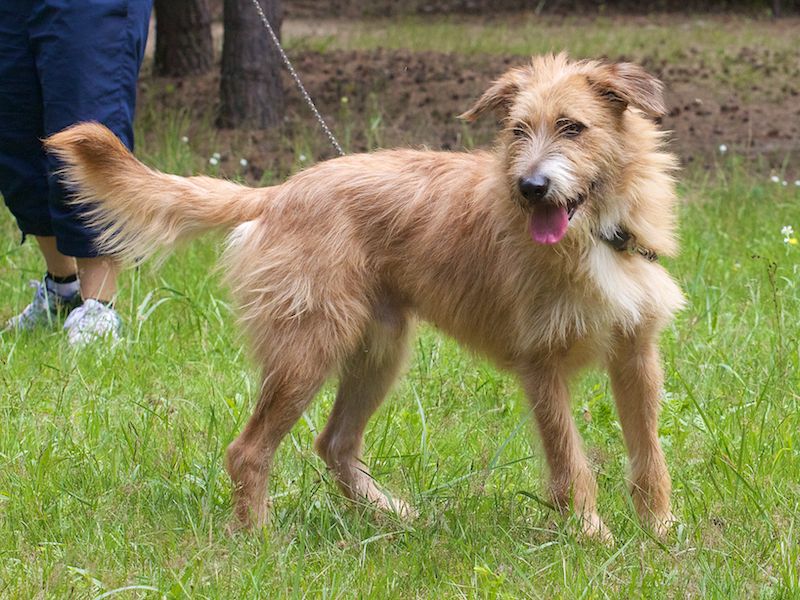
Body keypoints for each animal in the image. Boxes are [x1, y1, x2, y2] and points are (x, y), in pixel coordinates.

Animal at [46, 53, 685, 542]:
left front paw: (660, 532)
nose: (530, 187)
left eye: (573, 127)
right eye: (518, 130)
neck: (596, 232)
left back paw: (393, 516)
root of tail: (280, 192)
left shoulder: (636, 354)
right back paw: (259, 542)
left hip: (377, 354)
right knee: (249, 450)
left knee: (334, 443)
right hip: (308, 351)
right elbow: (569, 461)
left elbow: (649, 454)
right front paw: (593, 537)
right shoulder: (542, 365)